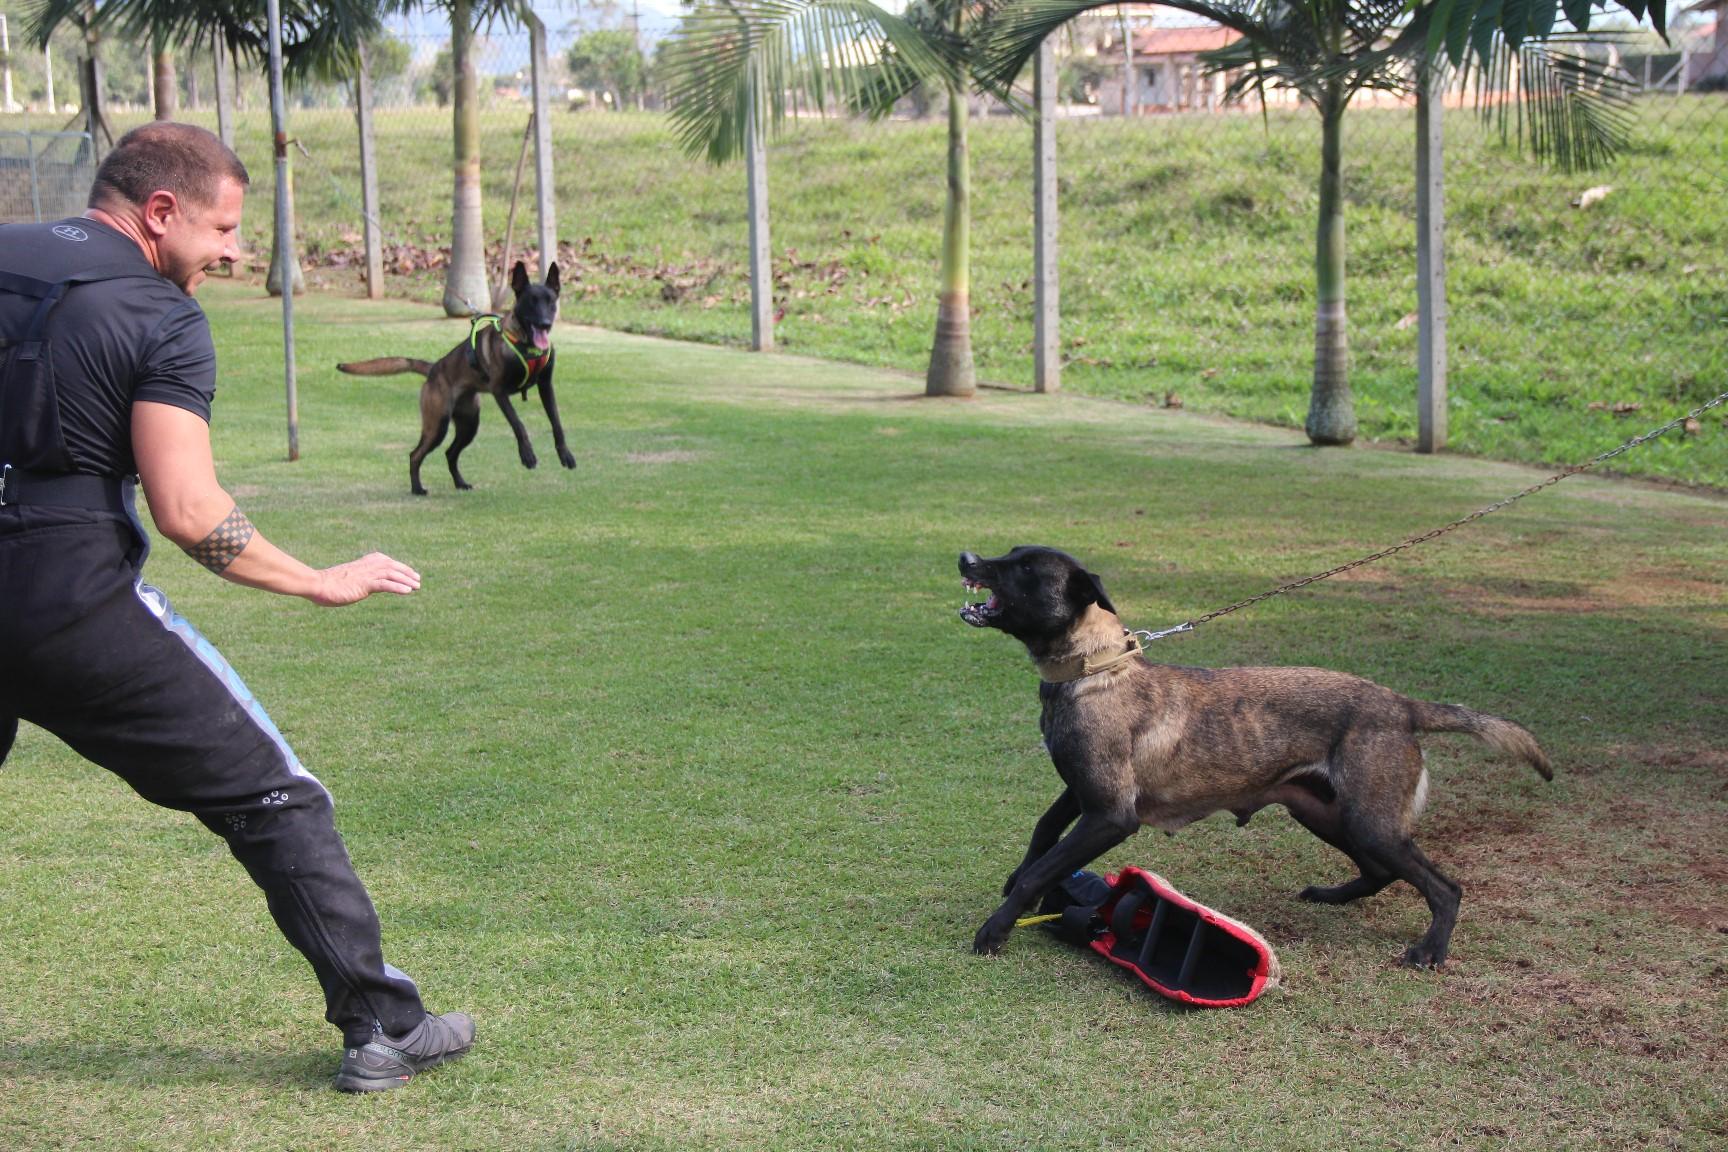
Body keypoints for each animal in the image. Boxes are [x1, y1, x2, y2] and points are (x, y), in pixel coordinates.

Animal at [336, 260, 573, 497]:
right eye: (531, 303)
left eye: (551, 302)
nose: (544, 324)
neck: (526, 344)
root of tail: (433, 369)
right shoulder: (499, 391)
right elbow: (518, 424)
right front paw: (527, 455)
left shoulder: (546, 386)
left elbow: (557, 423)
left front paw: (565, 454)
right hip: (437, 424)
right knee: (416, 454)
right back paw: (417, 488)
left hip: (469, 424)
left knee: (450, 453)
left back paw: (460, 483)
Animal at [960, 545, 1555, 967]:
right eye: (1009, 553)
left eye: (1025, 568)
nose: (965, 558)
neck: (1094, 669)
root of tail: (1402, 705)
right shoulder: (1079, 791)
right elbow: (1042, 833)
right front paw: (1019, 887)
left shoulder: (1109, 815)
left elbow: (1044, 866)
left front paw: (997, 928)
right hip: (1327, 813)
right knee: (1379, 871)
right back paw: (1332, 896)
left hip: (1369, 820)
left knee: (1444, 887)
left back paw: (1431, 950)